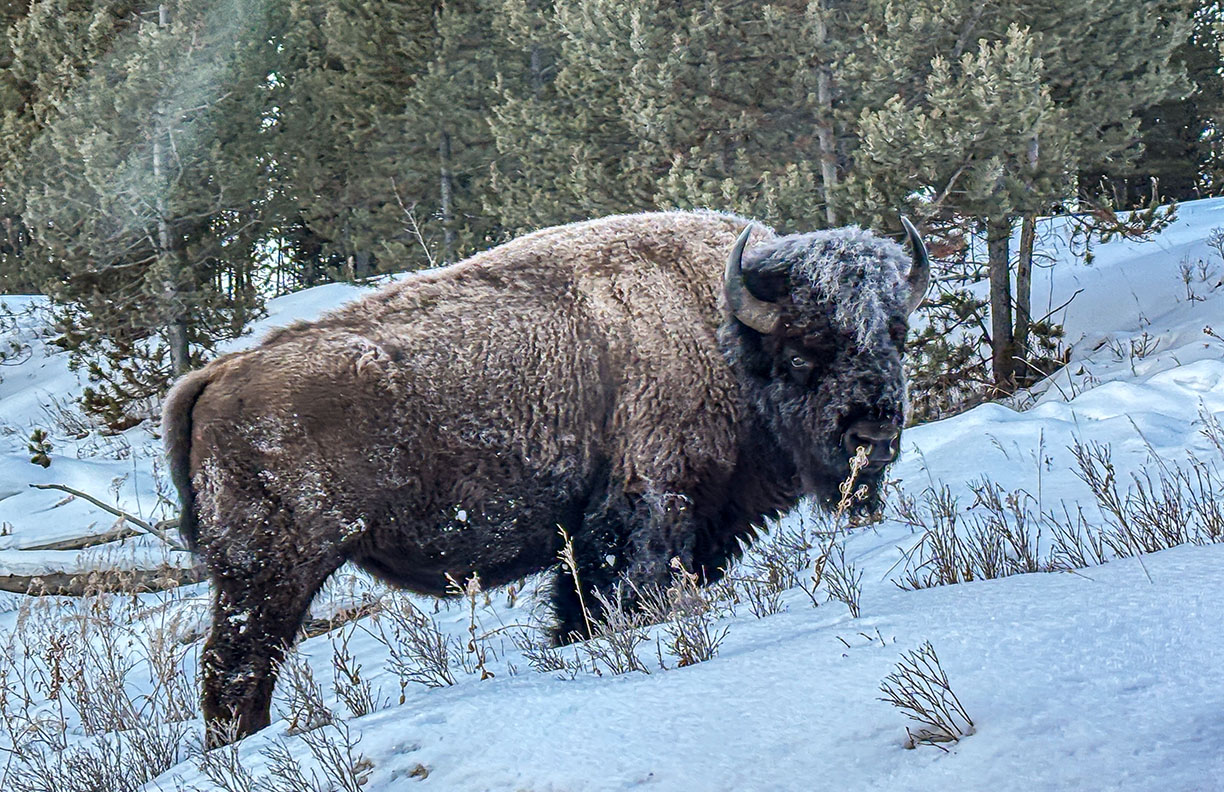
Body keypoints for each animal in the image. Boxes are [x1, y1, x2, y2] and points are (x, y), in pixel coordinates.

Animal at [162, 210, 929, 745]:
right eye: (802, 352)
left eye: (895, 334)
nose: (873, 436)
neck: (718, 330)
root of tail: (217, 376)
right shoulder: (648, 512)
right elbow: (612, 597)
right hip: (275, 571)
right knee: (237, 667)